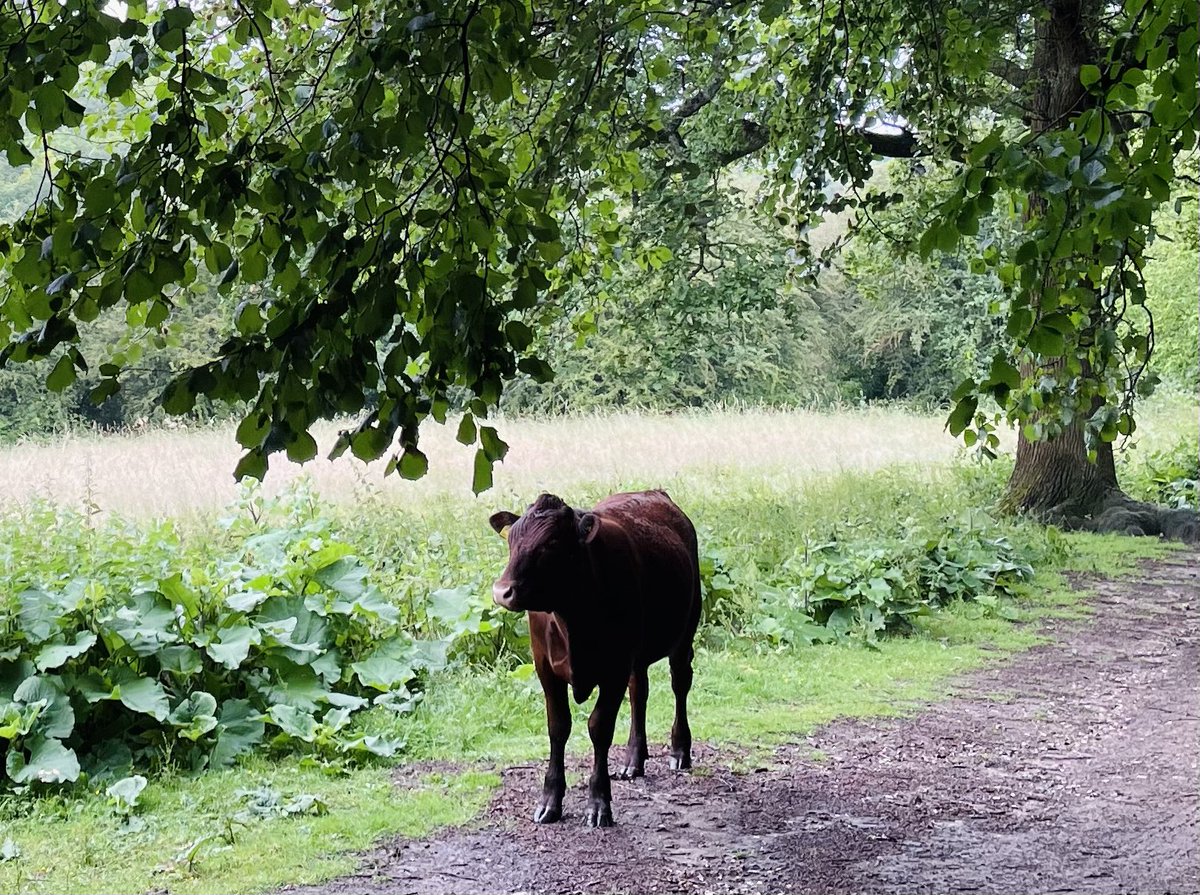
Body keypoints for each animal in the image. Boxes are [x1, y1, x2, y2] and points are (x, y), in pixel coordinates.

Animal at [489, 490, 702, 828]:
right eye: (512, 539)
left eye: (551, 543)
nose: (501, 591)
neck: (571, 615)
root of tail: (654, 492)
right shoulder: (545, 666)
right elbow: (558, 726)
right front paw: (549, 801)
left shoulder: (614, 669)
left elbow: (599, 728)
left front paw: (599, 803)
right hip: (637, 656)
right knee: (639, 692)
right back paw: (633, 760)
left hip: (685, 630)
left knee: (680, 683)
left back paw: (680, 751)